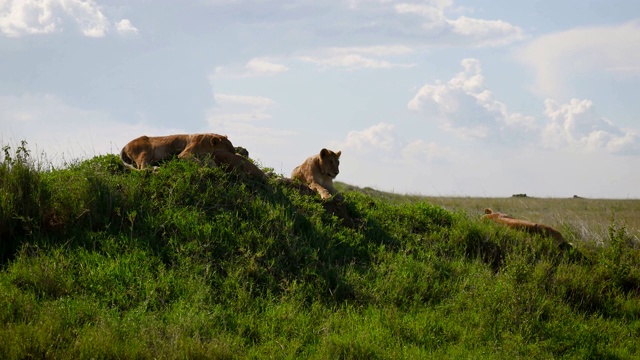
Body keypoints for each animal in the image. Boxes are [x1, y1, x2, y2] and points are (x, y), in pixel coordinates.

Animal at [121, 132, 266, 179]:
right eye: (229, 148)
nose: (236, 154)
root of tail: (125, 145)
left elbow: (208, 161)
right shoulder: (184, 154)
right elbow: (196, 160)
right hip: (145, 151)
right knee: (141, 167)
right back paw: (157, 169)